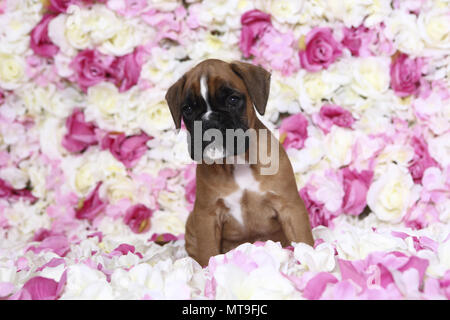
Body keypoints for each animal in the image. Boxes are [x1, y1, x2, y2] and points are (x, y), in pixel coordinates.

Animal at [164, 58, 312, 266]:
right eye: (188, 109)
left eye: (233, 100)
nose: (209, 121)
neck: (237, 160)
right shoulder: (206, 216)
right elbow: (208, 251)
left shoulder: (290, 207)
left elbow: (304, 240)